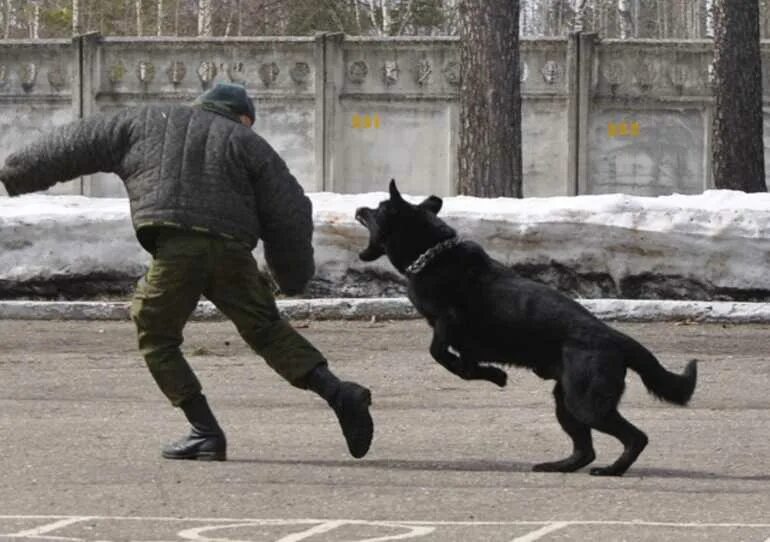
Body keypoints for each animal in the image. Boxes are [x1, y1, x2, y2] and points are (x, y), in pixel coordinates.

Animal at [354, 182, 696, 476]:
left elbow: (439, 353)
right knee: (586, 450)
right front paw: (492, 374)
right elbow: (466, 366)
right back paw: (561, 466)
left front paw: (490, 374)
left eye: (378, 208)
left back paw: (612, 470)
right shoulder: (463, 341)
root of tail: (618, 339)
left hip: (585, 403)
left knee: (636, 438)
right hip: (566, 400)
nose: (358, 207)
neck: (431, 254)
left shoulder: (446, 322)